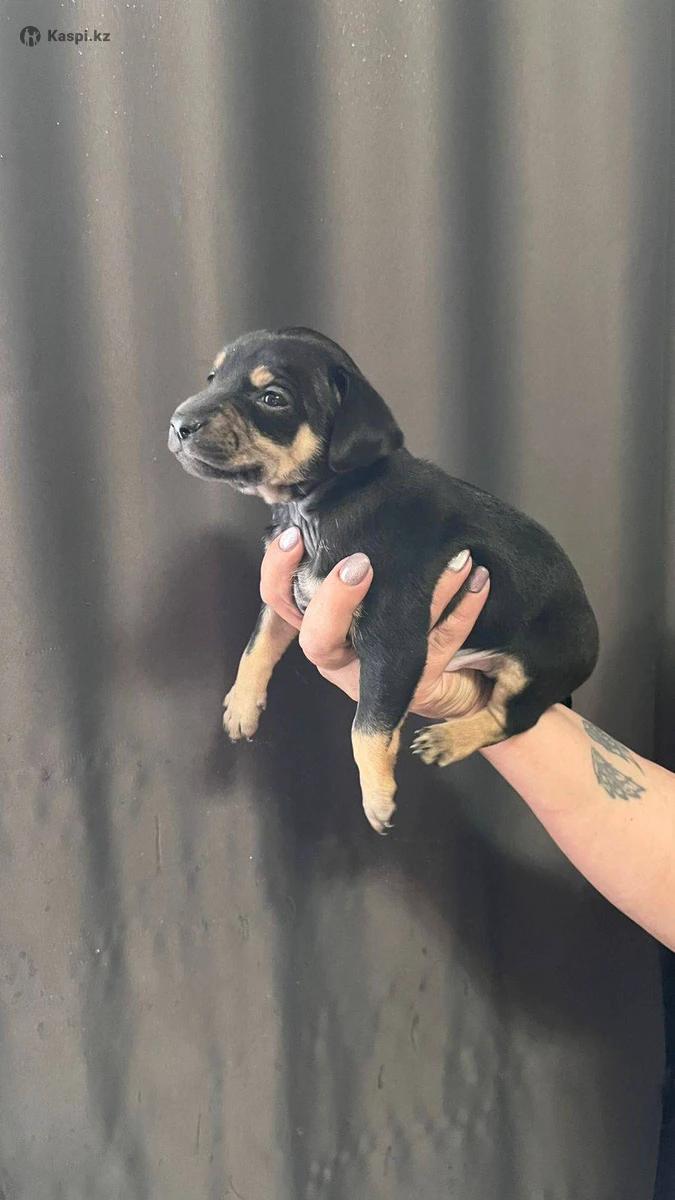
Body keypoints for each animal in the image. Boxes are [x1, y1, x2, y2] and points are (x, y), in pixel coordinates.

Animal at [168, 327, 599, 833]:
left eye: (273, 398)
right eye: (212, 378)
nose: (178, 423)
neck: (320, 503)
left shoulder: (392, 643)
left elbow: (367, 725)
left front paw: (378, 797)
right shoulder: (289, 596)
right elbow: (257, 644)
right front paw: (240, 706)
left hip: (538, 663)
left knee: (510, 718)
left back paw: (448, 740)